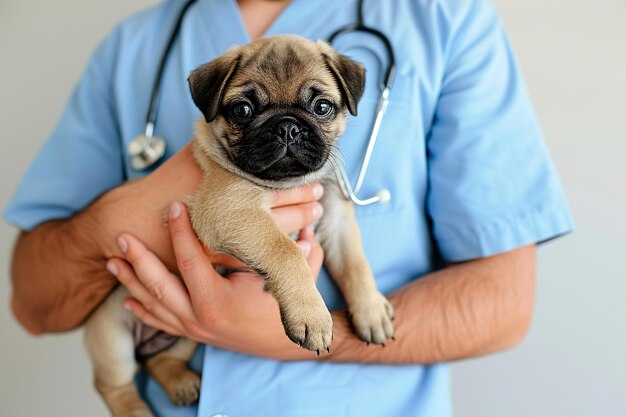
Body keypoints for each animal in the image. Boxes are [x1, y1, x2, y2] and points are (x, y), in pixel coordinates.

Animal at [85, 35, 392, 416]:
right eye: (242, 110)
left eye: (322, 107)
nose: (287, 126)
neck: (285, 183)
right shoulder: (231, 210)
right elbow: (286, 250)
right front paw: (312, 315)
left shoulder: (335, 218)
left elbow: (355, 264)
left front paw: (371, 310)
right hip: (113, 337)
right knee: (115, 384)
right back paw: (137, 409)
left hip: (187, 331)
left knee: (161, 360)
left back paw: (181, 382)